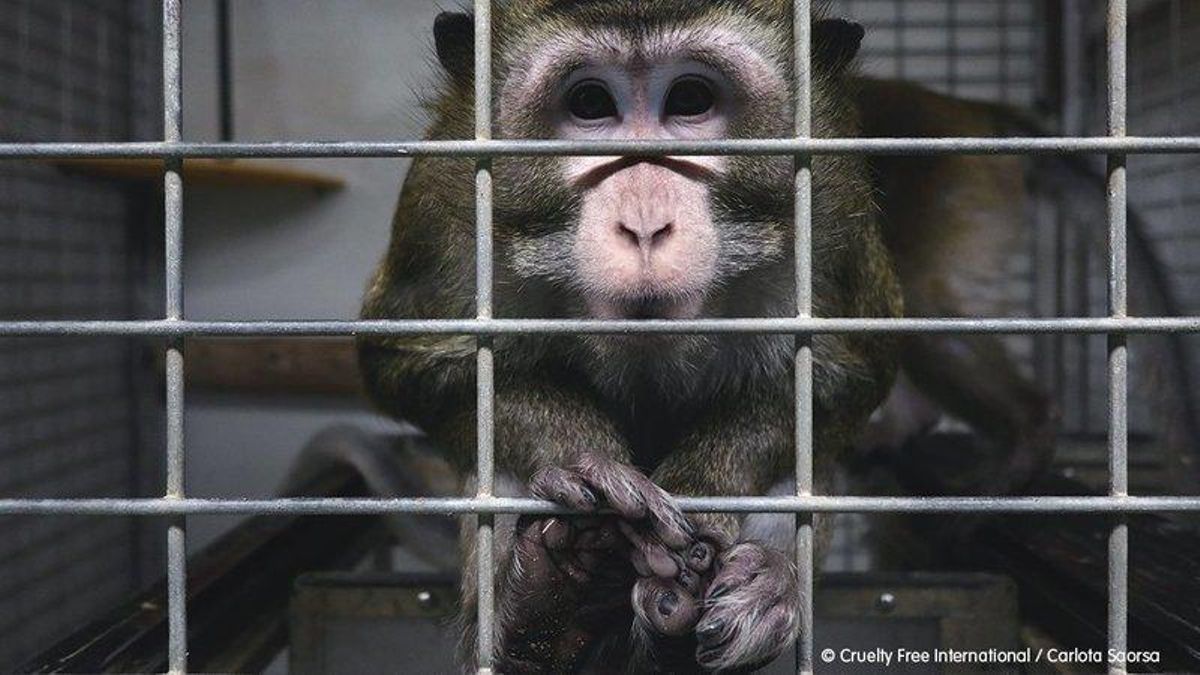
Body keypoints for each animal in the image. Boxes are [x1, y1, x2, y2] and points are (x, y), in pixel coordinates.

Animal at [357, 3, 902, 667]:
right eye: (591, 104)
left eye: (690, 99)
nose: (644, 226)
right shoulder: (443, 204)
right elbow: (408, 365)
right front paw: (586, 468)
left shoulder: (833, 208)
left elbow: (849, 377)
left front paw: (703, 490)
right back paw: (550, 610)